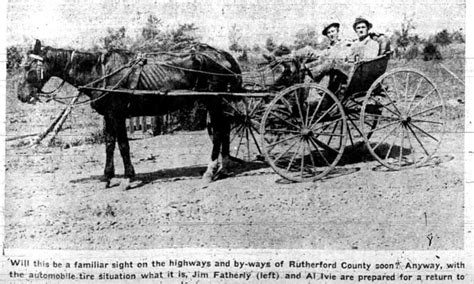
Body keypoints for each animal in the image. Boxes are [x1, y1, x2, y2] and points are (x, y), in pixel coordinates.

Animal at [16, 38, 243, 187]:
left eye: (28, 67)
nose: (21, 95)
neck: (101, 71)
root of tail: (222, 55)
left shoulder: (117, 115)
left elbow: (123, 145)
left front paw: (127, 178)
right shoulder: (108, 116)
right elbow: (109, 144)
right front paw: (107, 177)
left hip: (214, 101)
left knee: (219, 132)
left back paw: (210, 171)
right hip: (219, 103)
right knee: (224, 130)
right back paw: (224, 167)